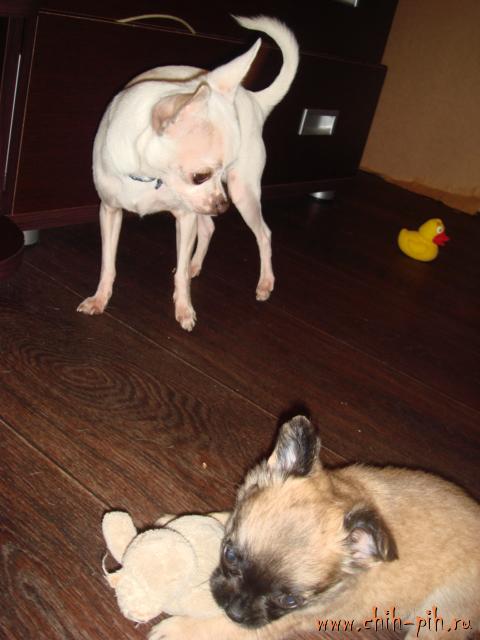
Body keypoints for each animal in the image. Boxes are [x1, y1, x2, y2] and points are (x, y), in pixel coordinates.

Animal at [77, 16, 299, 331]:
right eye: (200, 176)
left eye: (222, 169)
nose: (222, 205)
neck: (147, 177)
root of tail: (254, 100)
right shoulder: (109, 211)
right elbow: (108, 263)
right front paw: (100, 299)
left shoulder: (185, 215)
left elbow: (179, 275)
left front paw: (184, 309)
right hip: (204, 206)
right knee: (209, 228)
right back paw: (196, 263)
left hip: (240, 192)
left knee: (263, 233)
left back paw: (265, 282)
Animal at [149, 416, 480, 640]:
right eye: (229, 554)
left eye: (290, 600)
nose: (236, 611)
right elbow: (225, 514)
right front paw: (175, 524)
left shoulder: (279, 621)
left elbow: (225, 628)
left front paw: (181, 629)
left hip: (440, 615)